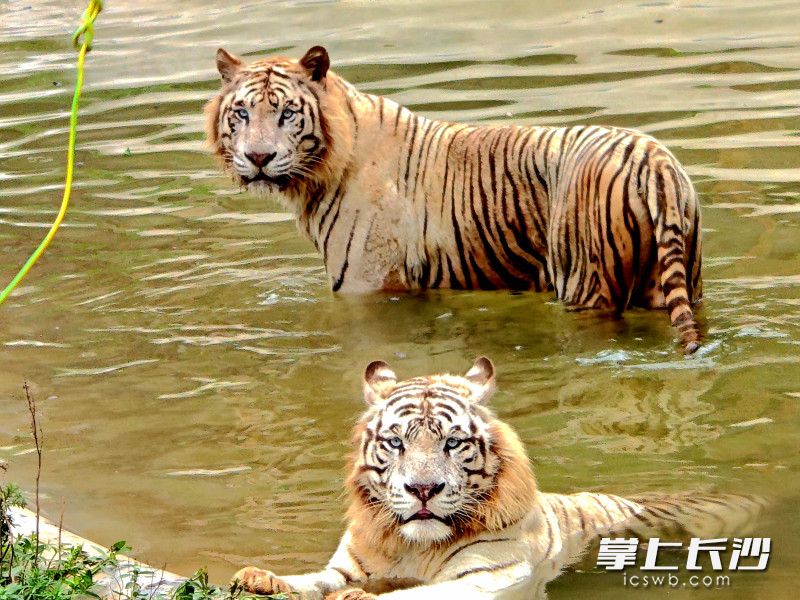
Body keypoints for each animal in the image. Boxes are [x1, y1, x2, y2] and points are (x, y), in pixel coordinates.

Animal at [205, 46, 703, 353]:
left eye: (287, 113)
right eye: (241, 112)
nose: (259, 157)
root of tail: (655, 163)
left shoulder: (367, 286)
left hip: (587, 284)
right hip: (673, 280)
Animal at [231, 358, 766, 600]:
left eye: (451, 443)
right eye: (397, 442)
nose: (422, 490)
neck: (413, 546)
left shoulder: (486, 578)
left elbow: (416, 596)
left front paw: (357, 599)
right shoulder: (349, 564)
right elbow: (312, 581)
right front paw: (260, 578)